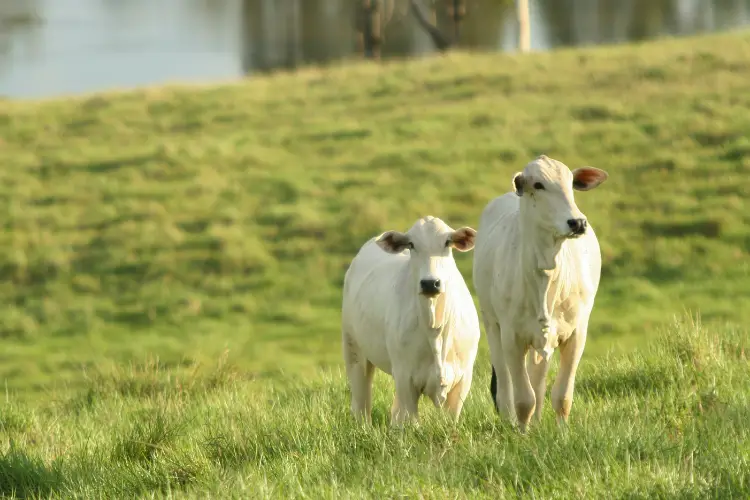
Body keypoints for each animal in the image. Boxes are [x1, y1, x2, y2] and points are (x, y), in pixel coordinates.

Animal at [342, 216, 482, 426]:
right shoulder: (405, 377)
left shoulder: (463, 379)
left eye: (447, 242)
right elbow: (411, 421)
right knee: (361, 404)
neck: (435, 328)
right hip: (353, 350)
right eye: (411, 244)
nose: (430, 283)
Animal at [476, 154, 612, 432]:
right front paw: (522, 433)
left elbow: (562, 395)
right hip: (492, 325)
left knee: (538, 380)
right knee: (506, 385)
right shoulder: (512, 337)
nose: (577, 222)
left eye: (571, 183)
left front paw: (562, 432)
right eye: (538, 185)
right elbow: (523, 399)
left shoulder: (576, 333)